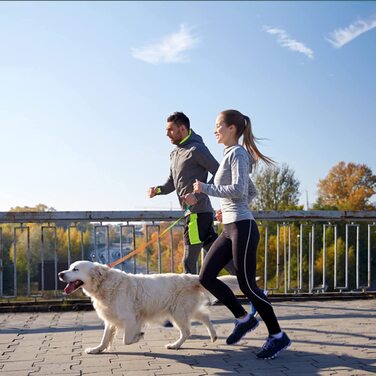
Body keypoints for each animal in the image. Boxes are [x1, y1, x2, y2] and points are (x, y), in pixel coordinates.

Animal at [58, 260, 241, 354]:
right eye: (69, 267)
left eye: (75, 269)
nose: (60, 274)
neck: (104, 284)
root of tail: (190, 277)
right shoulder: (111, 319)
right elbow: (105, 338)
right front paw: (97, 349)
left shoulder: (130, 318)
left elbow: (126, 339)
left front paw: (138, 336)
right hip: (183, 310)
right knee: (204, 316)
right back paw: (213, 336)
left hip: (177, 312)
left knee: (187, 331)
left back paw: (175, 345)